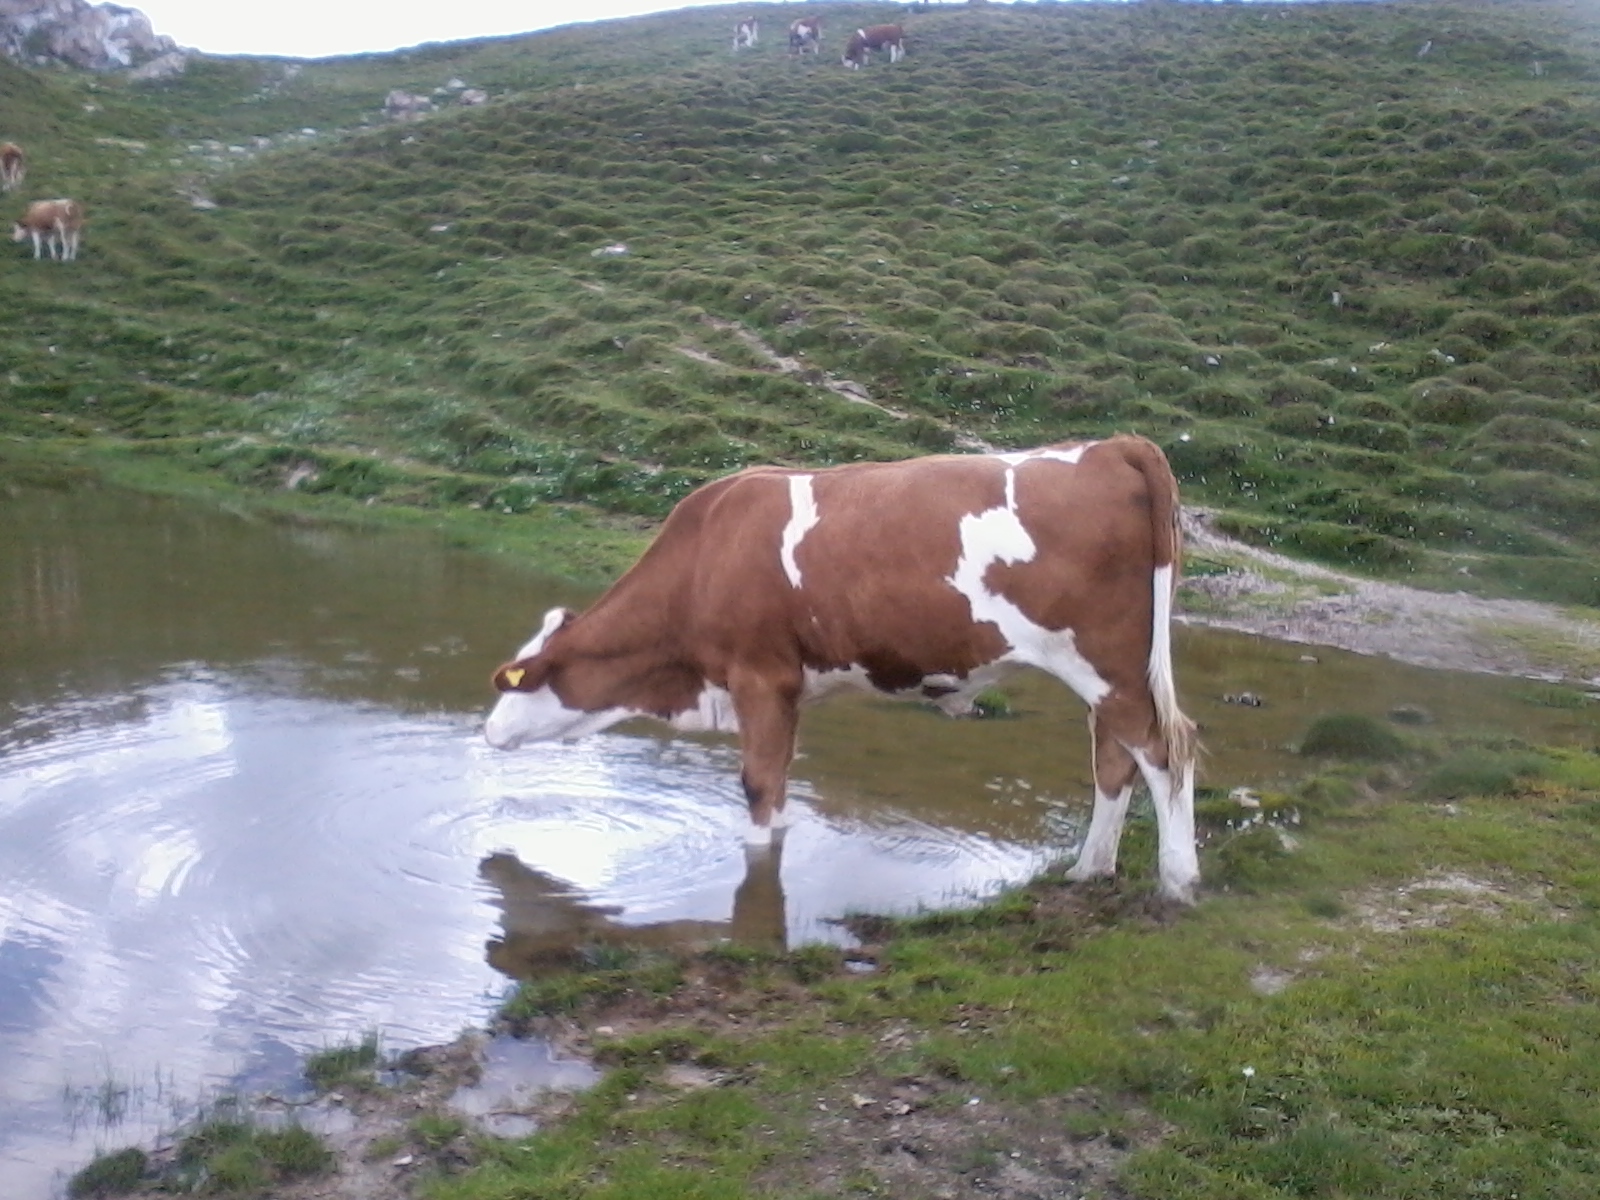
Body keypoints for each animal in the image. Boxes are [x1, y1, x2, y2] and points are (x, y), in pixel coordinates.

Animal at [483, 438, 1203, 902]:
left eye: (515, 677)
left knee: (1162, 748)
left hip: (1105, 655)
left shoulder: (761, 677)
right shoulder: (784, 689)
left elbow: (759, 786)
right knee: (1113, 754)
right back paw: (1090, 870)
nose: (488, 731)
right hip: (1111, 671)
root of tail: (1112, 446)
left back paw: (1178, 880)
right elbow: (778, 787)